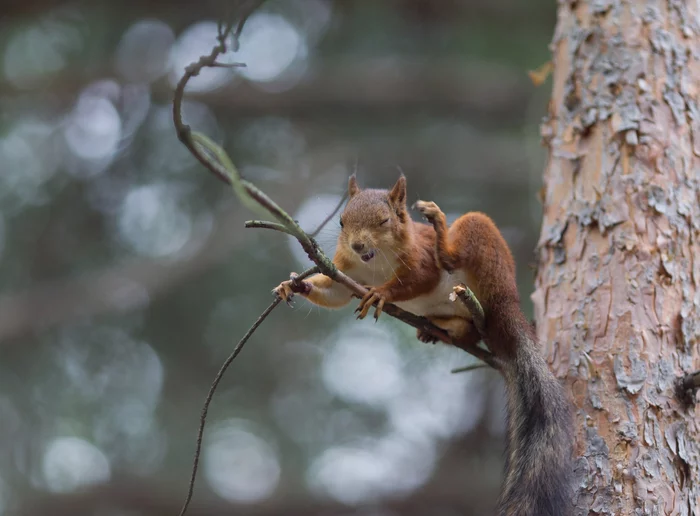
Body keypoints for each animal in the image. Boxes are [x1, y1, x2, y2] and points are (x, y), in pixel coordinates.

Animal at [274, 175, 576, 512]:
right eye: (341, 222)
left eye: (384, 220)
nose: (357, 245)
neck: (375, 263)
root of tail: (510, 302)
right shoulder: (344, 269)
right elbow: (335, 293)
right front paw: (295, 284)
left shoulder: (419, 258)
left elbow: (419, 279)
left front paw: (382, 293)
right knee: (470, 333)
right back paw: (439, 328)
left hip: (485, 253)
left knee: (457, 264)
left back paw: (442, 237)